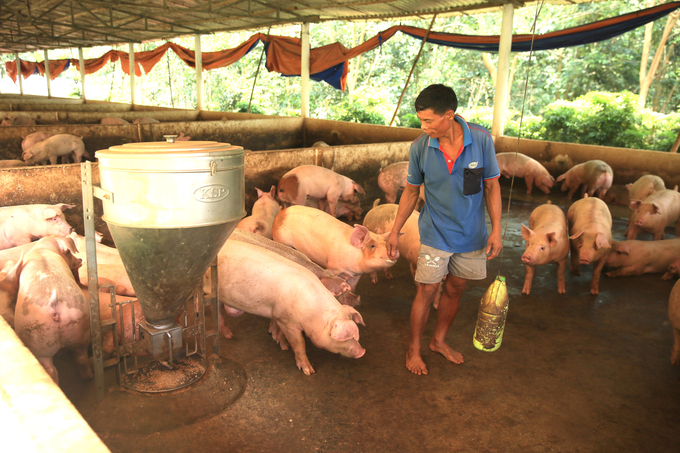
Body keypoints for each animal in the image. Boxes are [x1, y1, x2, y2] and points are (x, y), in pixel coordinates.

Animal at [13, 235, 91, 384]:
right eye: (68, 252)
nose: (80, 260)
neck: (43, 250)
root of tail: (54, 305)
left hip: (36, 339)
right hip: (78, 324)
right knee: (80, 358)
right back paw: (86, 377)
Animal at [216, 240, 366, 374]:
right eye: (346, 338)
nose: (363, 352)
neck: (312, 313)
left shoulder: (278, 314)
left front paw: (281, 343)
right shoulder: (288, 321)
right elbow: (299, 344)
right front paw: (308, 371)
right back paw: (229, 336)